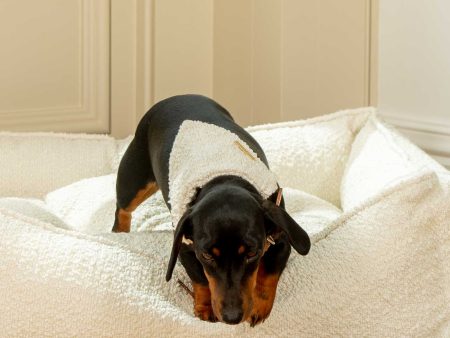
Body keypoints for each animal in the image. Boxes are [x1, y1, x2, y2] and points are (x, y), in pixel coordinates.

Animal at [113, 93, 310, 326]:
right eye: (206, 255)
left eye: (252, 253)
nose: (232, 318)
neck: (225, 177)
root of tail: (179, 96)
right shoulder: (186, 247)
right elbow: (201, 279)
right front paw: (205, 307)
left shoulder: (280, 240)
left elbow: (268, 274)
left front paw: (259, 306)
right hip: (134, 179)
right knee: (122, 209)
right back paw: (119, 232)